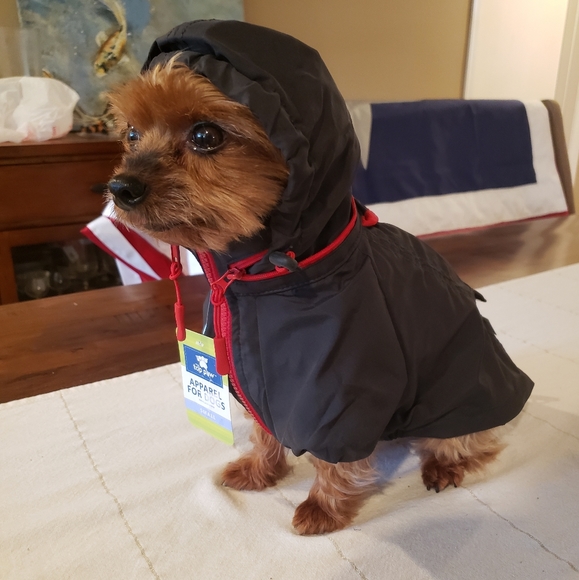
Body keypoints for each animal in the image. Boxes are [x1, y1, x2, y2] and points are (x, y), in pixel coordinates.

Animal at [106, 20, 533, 535]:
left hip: (459, 393)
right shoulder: (260, 378)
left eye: (206, 134)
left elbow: (336, 455)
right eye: (131, 134)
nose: (120, 188)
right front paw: (259, 470)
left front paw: (323, 507)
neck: (260, 281)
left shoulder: (341, 386)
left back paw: (446, 464)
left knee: (471, 438)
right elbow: (264, 430)